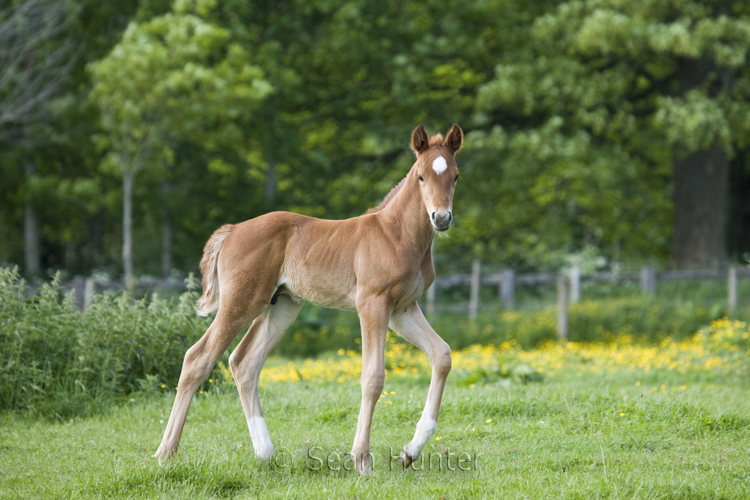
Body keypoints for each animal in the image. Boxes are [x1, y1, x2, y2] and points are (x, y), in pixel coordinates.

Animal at [156, 123, 464, 474]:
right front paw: (362, 460)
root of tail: (232, 230)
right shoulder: (373, 304)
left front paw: (410, 451)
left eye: (455, 176)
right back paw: (165, 452)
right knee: (198, 358)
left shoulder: (402, 310)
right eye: (421, 176)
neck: (399, 235)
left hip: (282, 306)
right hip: (241, 302)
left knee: (243, 362)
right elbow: (373, 377)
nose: (441, 218)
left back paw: (265, 453)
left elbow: (442, 355)